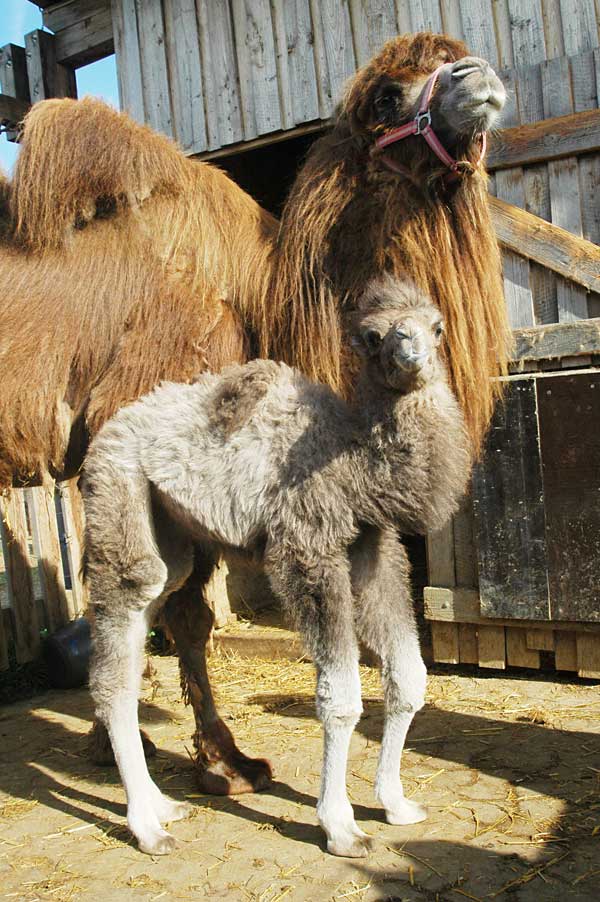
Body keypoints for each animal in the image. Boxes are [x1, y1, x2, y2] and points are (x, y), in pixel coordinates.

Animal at [0, 32, 510, 792]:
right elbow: (174, 609)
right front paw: (212, 759)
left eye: (456, 55)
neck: (265, 303)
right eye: (388, 95)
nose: (479, 80)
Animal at [83, 276, 470, 856]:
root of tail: (102, 437)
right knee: (117, 655)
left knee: (139, 638)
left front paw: (397, 805)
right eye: (373, 336)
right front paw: (341, 828)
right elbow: (340, 697)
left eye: (437, 325)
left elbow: (409, 677)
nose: (413, 357)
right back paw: (147, 829)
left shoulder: (373, 547)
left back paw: (162, 807)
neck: (355, 462)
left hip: (169, 535)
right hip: (118, 491)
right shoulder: (308, 549)